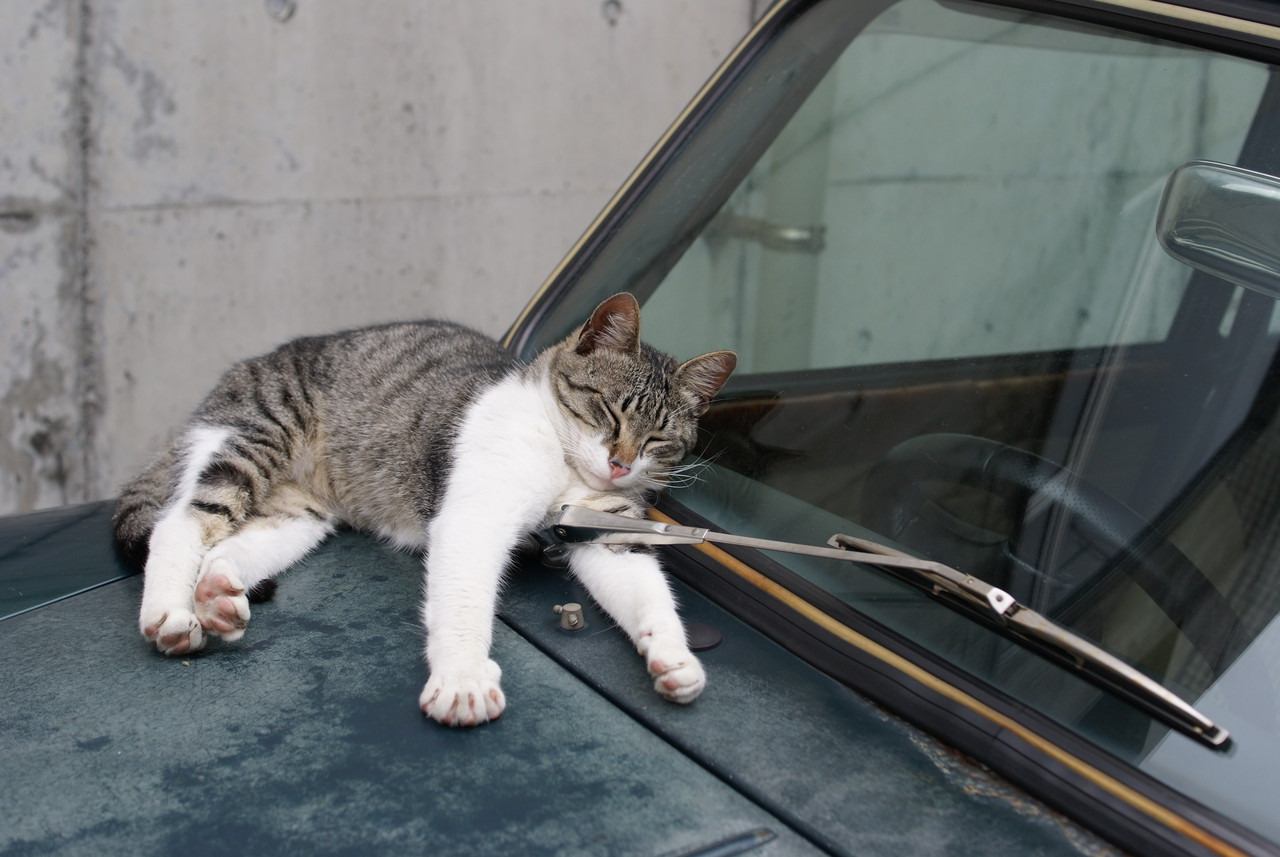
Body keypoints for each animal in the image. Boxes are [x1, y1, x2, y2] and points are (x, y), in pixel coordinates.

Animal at [112, 293, 736, 727]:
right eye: (608, 411)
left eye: (658, 440)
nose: (620, 464)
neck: (565, 467)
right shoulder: (473, 515)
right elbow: (463, 602)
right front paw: (462, 679)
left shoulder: (606, 529)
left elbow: (645, 589)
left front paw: (672, 659)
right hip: (252, 437)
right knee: (180, 523)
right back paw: (170, 616)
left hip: (298, 514)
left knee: (228, 545)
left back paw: (218, 594)